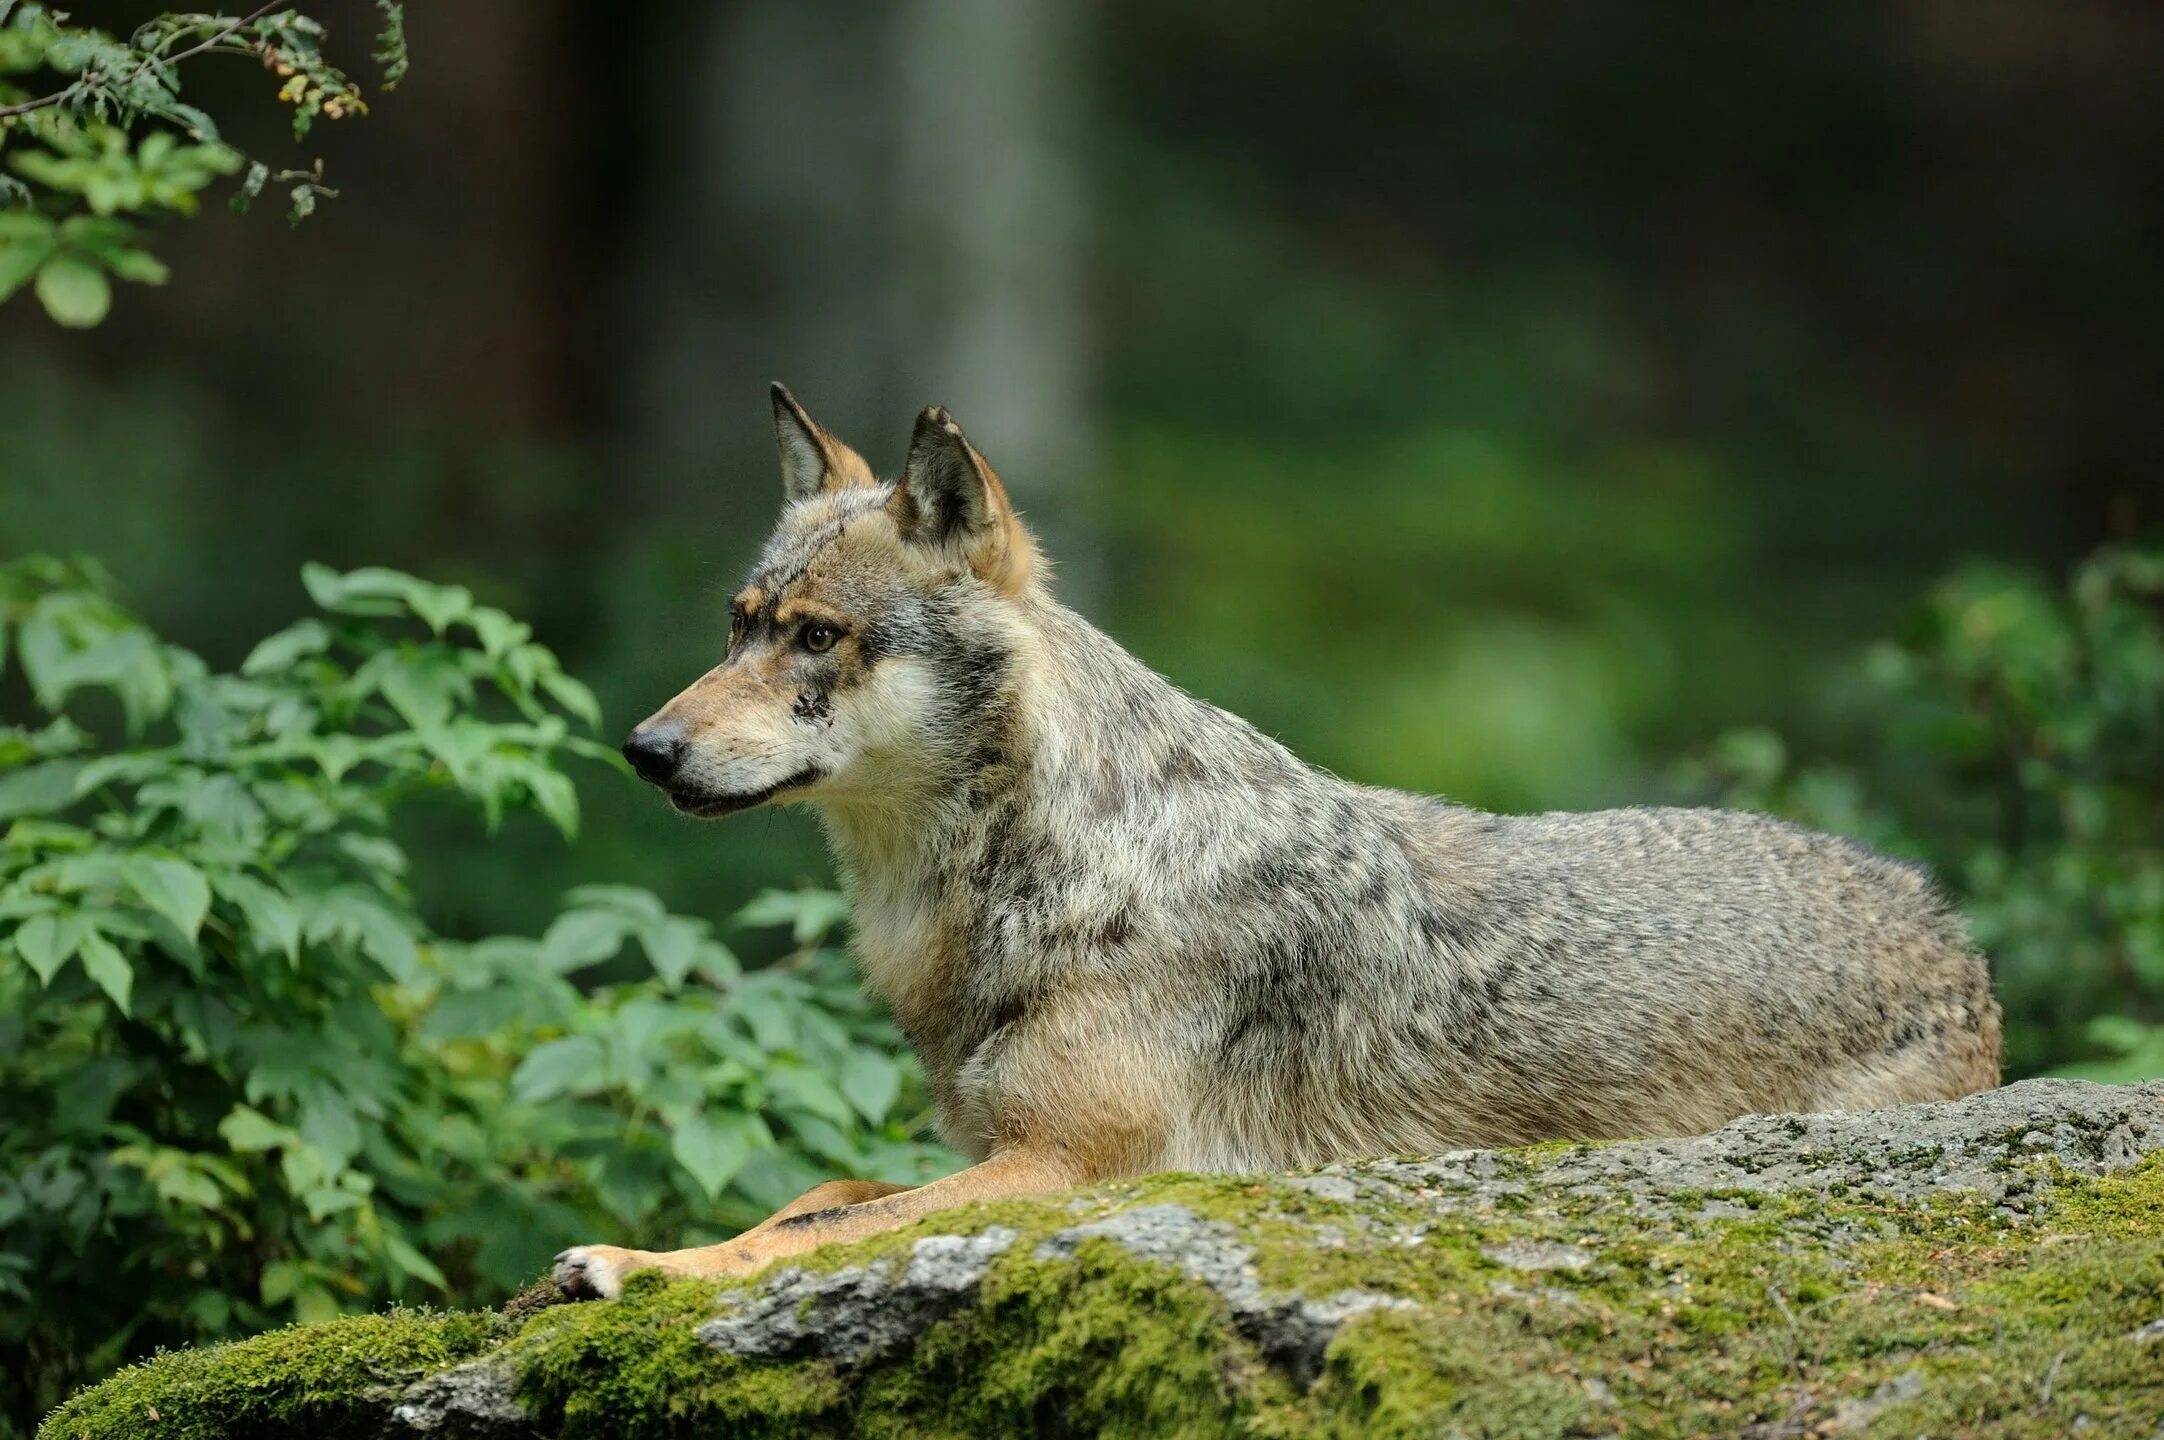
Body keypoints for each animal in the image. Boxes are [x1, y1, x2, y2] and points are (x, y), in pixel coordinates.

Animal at [549, 387, 1999, 1299]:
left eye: (817, 638)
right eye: (738, 624)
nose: (644, 748)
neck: (1056, 864)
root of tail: (1954, 936)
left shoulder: (1064, 1166)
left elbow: (820, 1226)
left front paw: (637, 1268)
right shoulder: (995, 1146)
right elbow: (817, 1194)